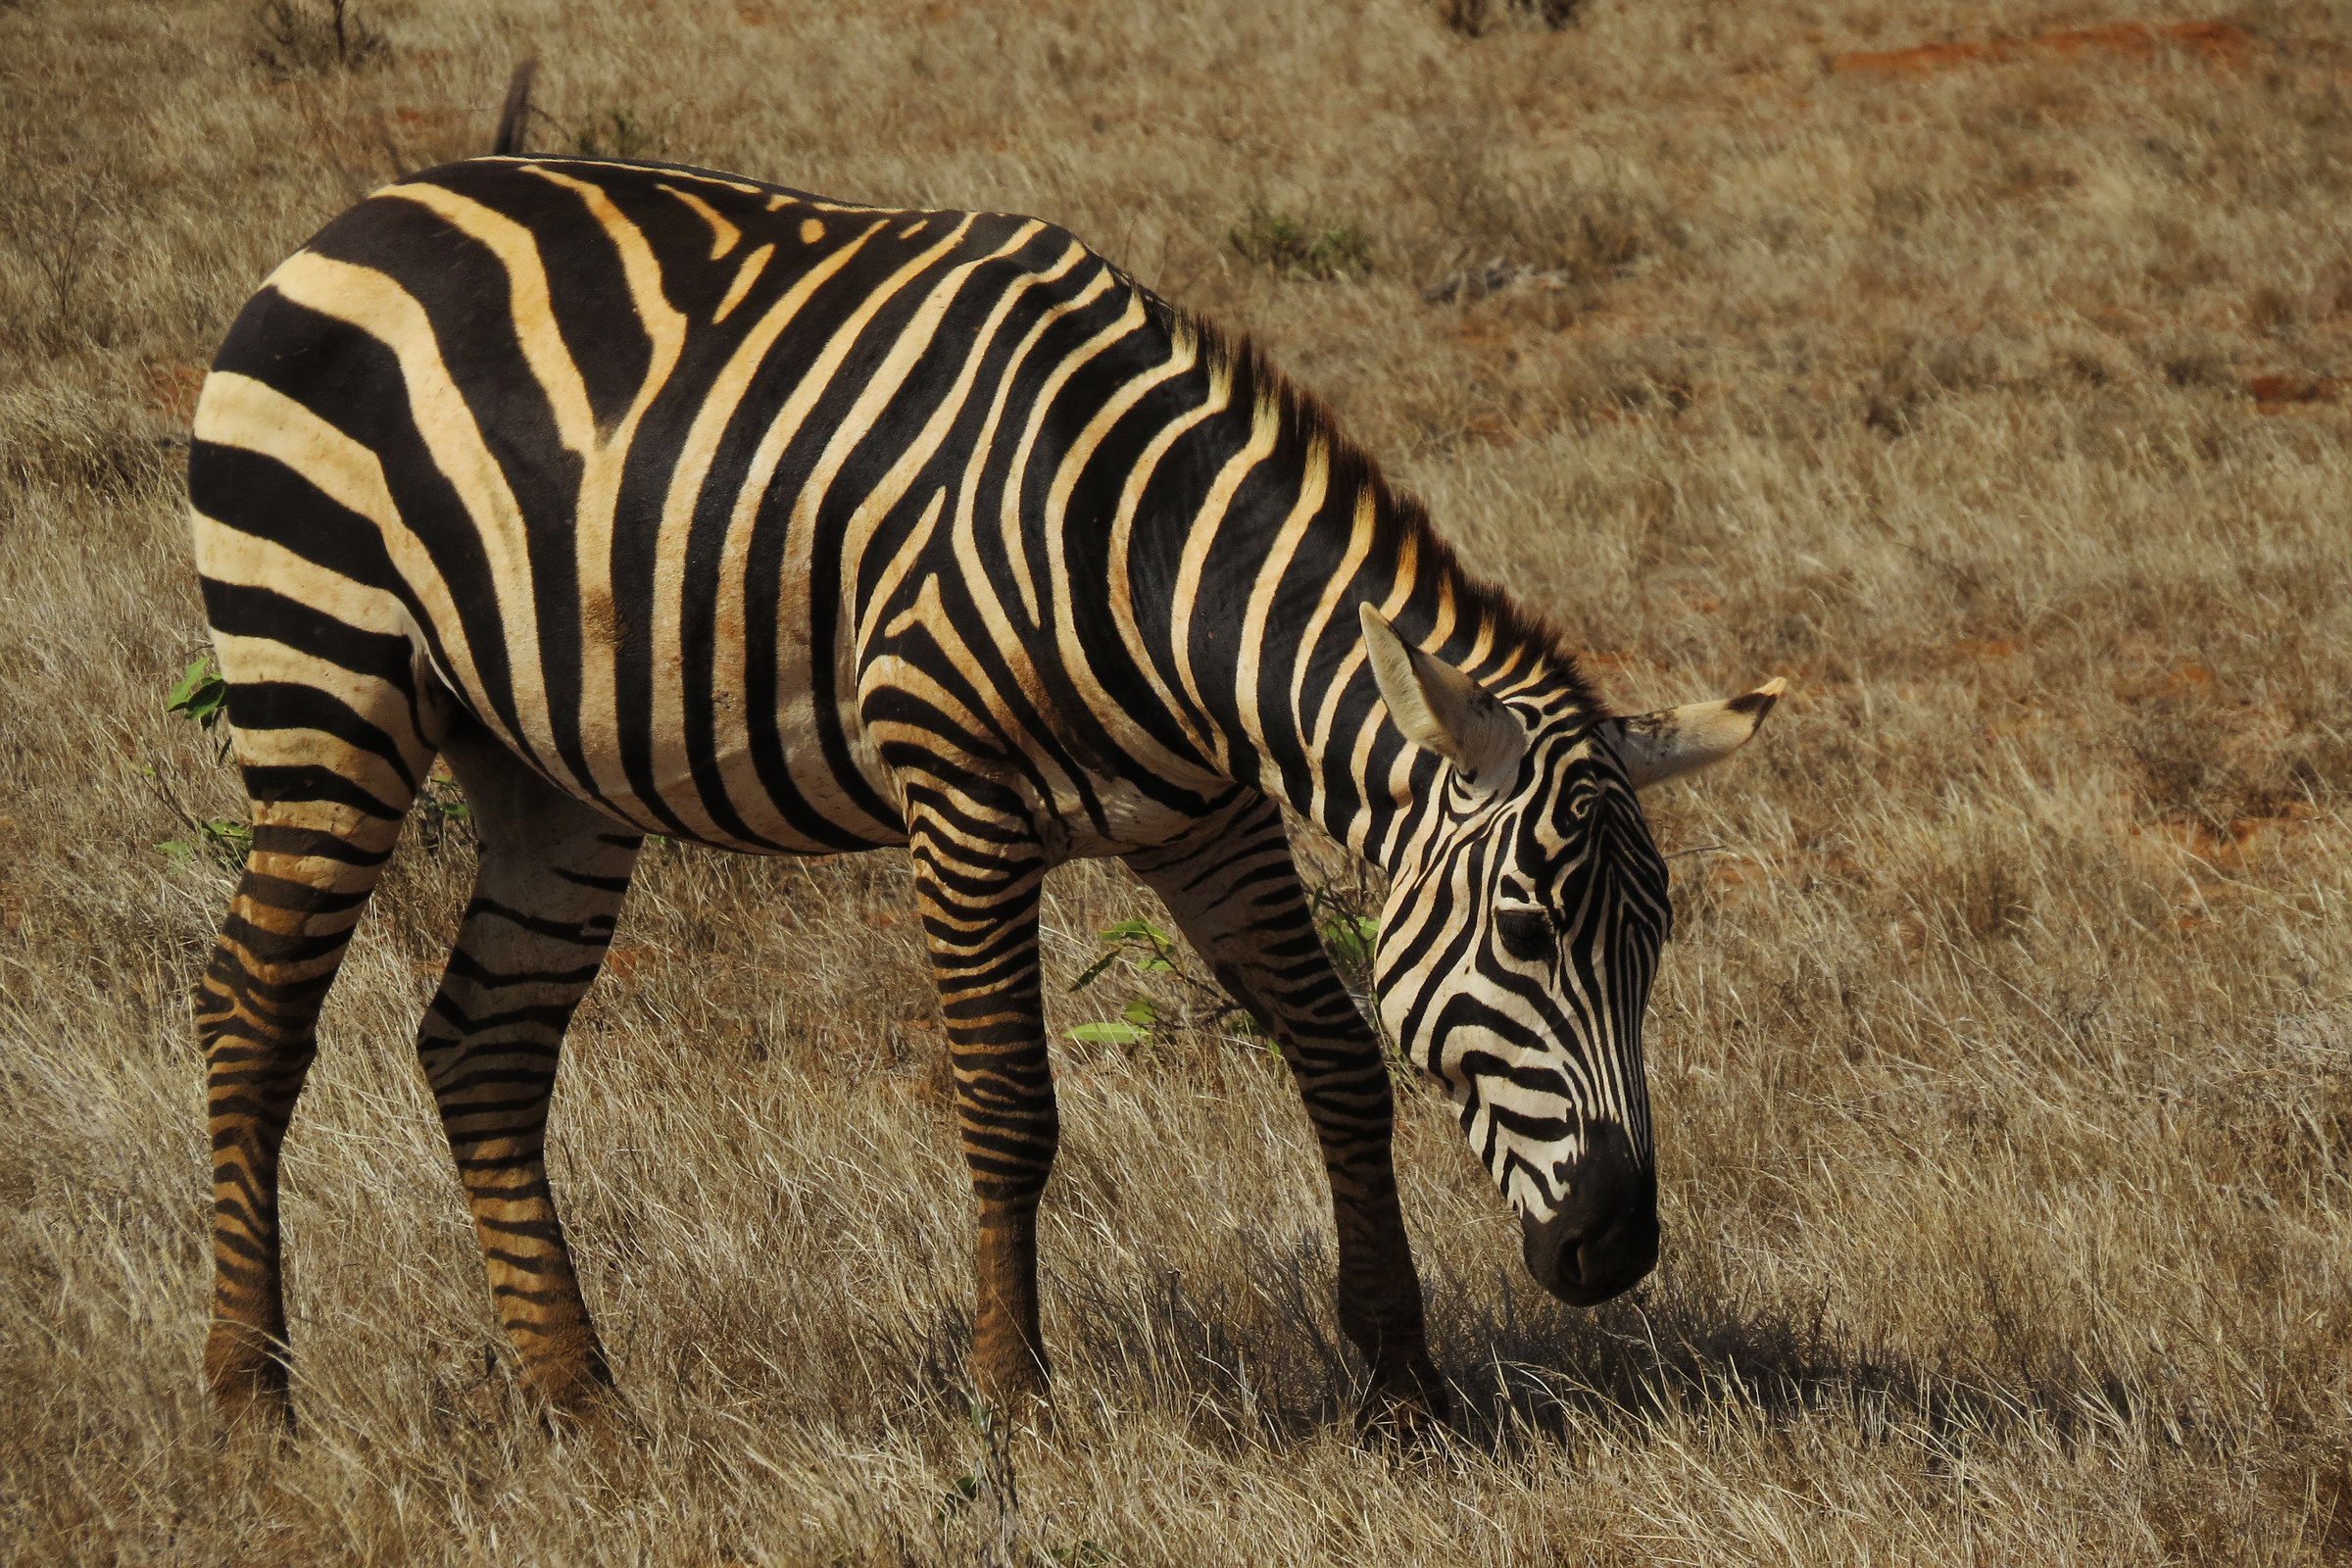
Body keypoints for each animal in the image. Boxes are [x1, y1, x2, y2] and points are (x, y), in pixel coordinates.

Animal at [186, 154, 1782, 1429]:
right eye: (1527, 932)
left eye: (1653, 948)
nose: (1615, 1254)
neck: (1147, 561)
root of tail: (363, 214)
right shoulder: (958, 798)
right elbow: (1012, 1106)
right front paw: (1014, 1398)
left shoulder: (1208, 822)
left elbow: (1339, 1056)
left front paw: (1403, 1379)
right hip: (323, 676)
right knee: (251, 1012)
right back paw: (252, 1394)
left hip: (541, 772)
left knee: (484, 1047)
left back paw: (582, 1401)